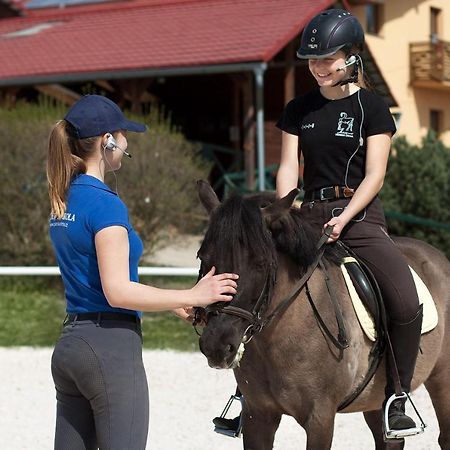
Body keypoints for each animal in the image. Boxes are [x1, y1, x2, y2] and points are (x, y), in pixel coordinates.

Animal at [196, 181, 450, 448]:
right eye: (203, 258)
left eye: (261, 264)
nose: (216, 345)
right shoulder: (259, 415)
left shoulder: (320, 418)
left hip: (442, 379)